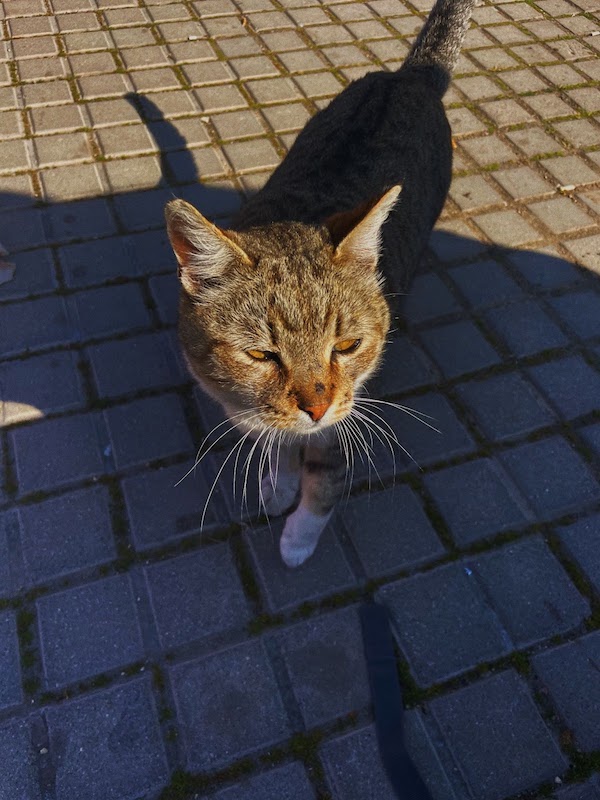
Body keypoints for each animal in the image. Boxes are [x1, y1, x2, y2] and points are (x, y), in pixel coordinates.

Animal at [166, 0, 478, 567]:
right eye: (261, 355)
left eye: (348, 345)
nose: (316, 407)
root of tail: (407, 76)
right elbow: (280, 447)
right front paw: (279, 481)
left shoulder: (343, 421)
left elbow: (325, 482)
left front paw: (299, 537)